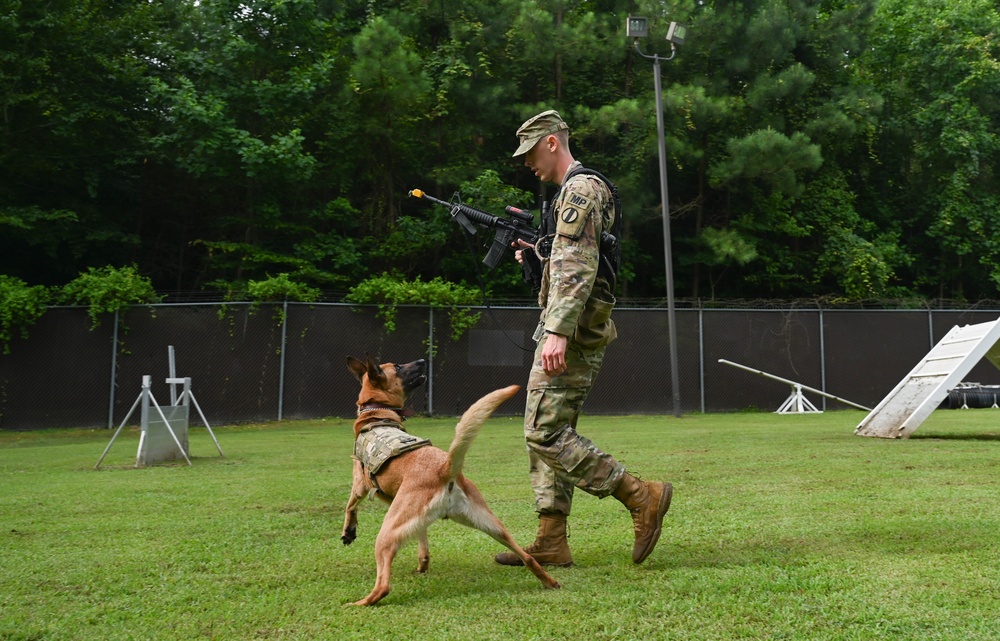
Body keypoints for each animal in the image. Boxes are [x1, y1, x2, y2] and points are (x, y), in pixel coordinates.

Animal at [342, 356, 564, 604]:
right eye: (398, 367)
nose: (422, 360)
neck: (377, 413)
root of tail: (444, 468)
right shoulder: (412, 519)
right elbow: (422, 539)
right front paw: (423, 564)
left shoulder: (360, 484)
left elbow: (350, 505)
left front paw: (348, 532)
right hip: (492, 526)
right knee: (529, 558)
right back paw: (550, 581)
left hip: (386, 534)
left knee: (383, 586)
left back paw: (358, 603)